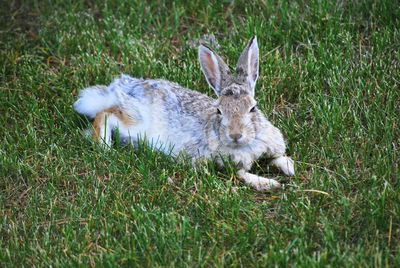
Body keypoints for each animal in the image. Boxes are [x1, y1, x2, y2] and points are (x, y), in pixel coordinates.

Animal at [74, 36, 294, 191]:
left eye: (253, 108)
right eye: (219, 110)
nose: (235, 135)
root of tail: (119, 87)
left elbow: (280, 157)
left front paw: (289, 168)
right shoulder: (225, 163)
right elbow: (241, 174)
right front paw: (268, 184)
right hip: (135, 122)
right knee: (104, 114)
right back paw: (105, 147)